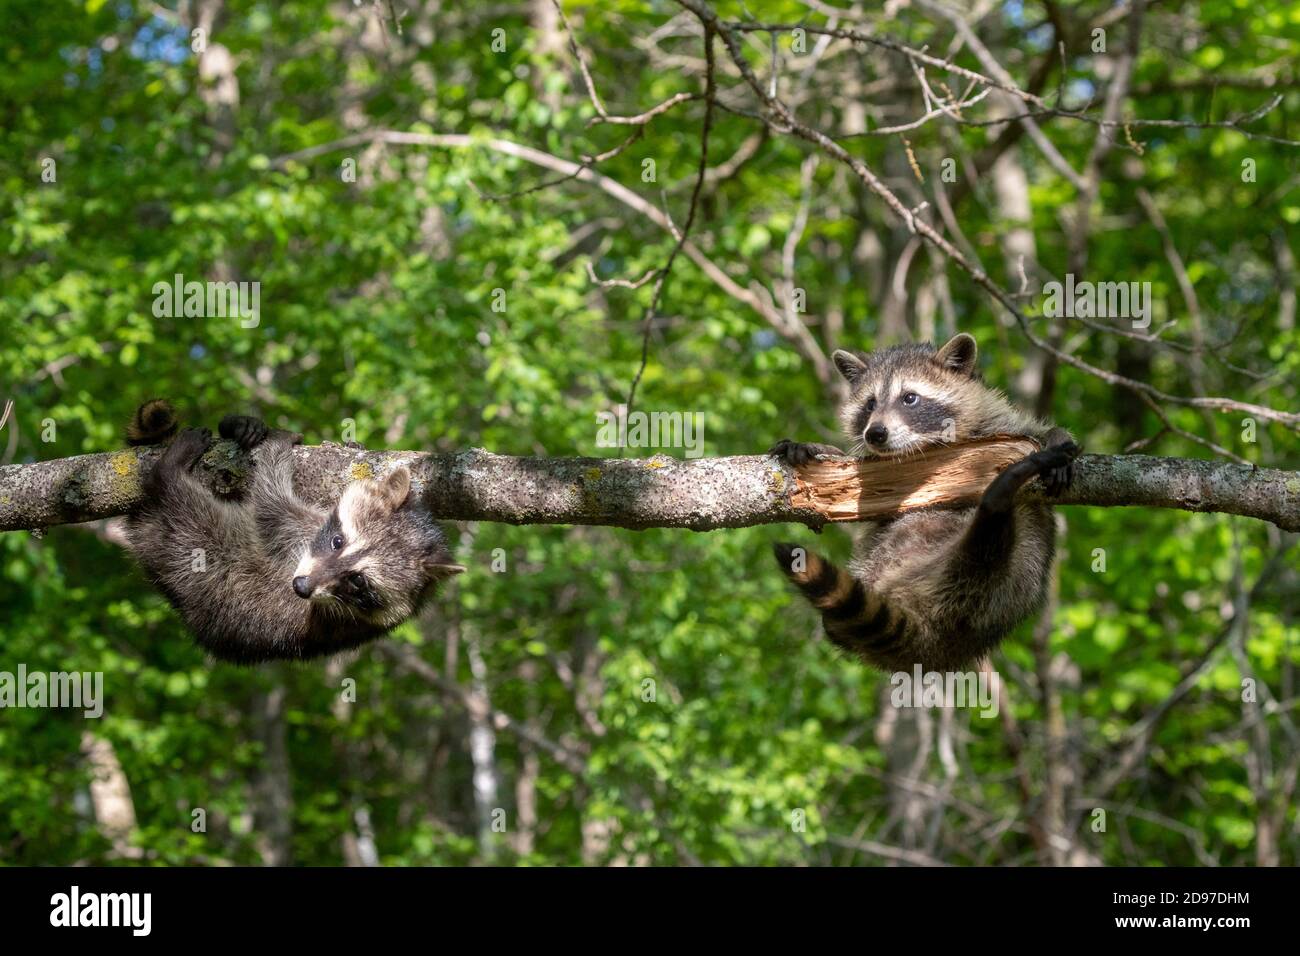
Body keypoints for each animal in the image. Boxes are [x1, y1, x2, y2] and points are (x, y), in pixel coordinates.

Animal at [123, 400, 462, 664]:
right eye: (338, 541)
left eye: (358, 581)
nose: (301, 587)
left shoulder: (292, 532)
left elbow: (269, 505)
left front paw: (277, 445)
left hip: (193, 547)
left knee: (185, 506)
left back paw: (168, 471)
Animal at [769, 333, 1080, 673]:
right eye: (870, 404)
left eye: (909, 398)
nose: (875, 433)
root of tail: (938, 642)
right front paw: (819, 448)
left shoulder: (998, 422)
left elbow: (1034, 431)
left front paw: (1057, 435)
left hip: (996, 588)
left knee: (990, 552)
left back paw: (998, 496)